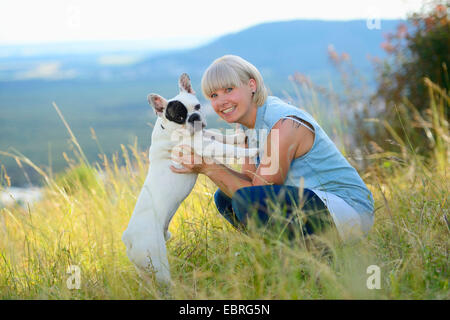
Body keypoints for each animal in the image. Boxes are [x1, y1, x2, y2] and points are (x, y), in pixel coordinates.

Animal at [122, 73, 256, 284]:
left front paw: (237, 137)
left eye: (198, 107)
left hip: (145, 269)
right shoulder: (201, 144)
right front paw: (251, 150)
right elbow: (224, 148)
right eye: (179, 117)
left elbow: (216, 135)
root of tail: (128, 239)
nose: (194, 118)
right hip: (157, 261)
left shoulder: (203, 134)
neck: (168, 129)